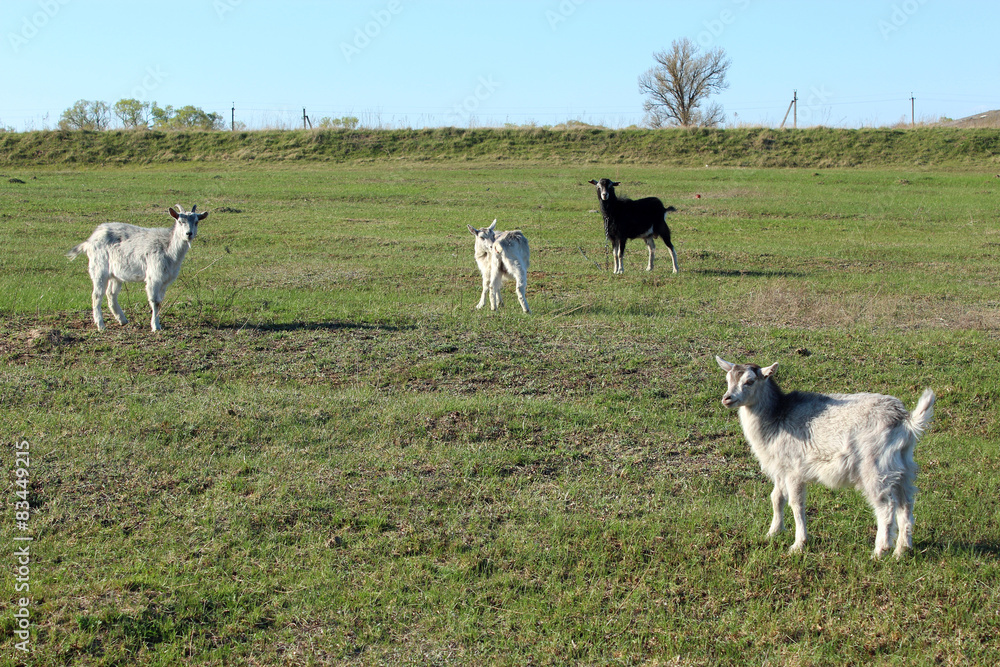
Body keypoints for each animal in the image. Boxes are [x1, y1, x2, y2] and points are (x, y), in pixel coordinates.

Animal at [67, 205, 208, 331]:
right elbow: (155, 301)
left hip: (115, 274)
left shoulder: (165, 279)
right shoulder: (154, 276)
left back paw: (122, 320)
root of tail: (90, 241)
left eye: (196, 222)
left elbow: (160, 301)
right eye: (180, 221)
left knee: (111, 294)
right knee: (97, 295)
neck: (168, 248)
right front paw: (156, 326)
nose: (189, 234)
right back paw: (101, 325)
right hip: (99, 268)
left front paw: (157, 323)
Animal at [715, 356, 935, 559]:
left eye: (750, 381)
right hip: (903, 466)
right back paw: (902, 550)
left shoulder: (794, 469)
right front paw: (773, 532)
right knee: (906, 503)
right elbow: (776, 498)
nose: (727, 398)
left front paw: (798, 544)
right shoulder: (780, 468)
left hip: (874, 466)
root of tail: (906, 422)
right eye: (727, 379)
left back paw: (880, 551)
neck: (777, 417)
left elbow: (796, 504)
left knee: (886, 505)